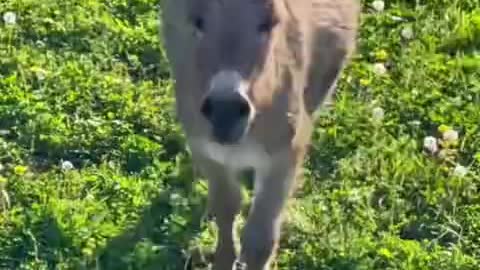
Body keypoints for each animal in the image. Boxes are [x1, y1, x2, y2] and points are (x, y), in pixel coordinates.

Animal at [161, 1, 360, 268]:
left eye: (268, 23)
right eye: (197, 22)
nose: (226, 111)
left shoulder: (284, 155)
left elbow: (260, 240)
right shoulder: (207, 150)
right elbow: (227, 206)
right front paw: (223, 260)